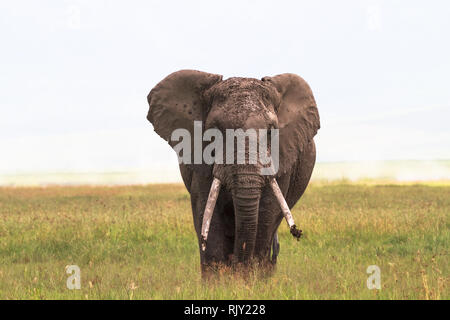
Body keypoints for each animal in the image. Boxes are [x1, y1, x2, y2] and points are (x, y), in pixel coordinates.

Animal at [146, 70, 318, 276]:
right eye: (214, 133)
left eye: (270, 132)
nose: (297, 232)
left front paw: (250, 278)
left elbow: (266, 213)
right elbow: (207, 213)